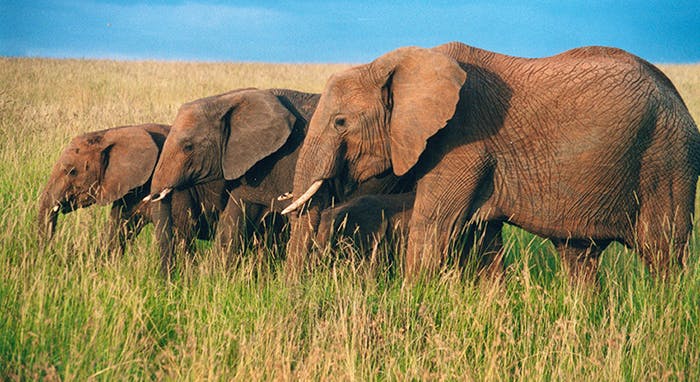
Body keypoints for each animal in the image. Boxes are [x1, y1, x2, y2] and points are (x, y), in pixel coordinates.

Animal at [284, 41, 700, 282]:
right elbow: (480, 239)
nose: (295, 291)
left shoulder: (462, 141)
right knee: (578, 256)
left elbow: (432, 227)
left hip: (668, 159)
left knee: (663, 252)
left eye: (340, 122)